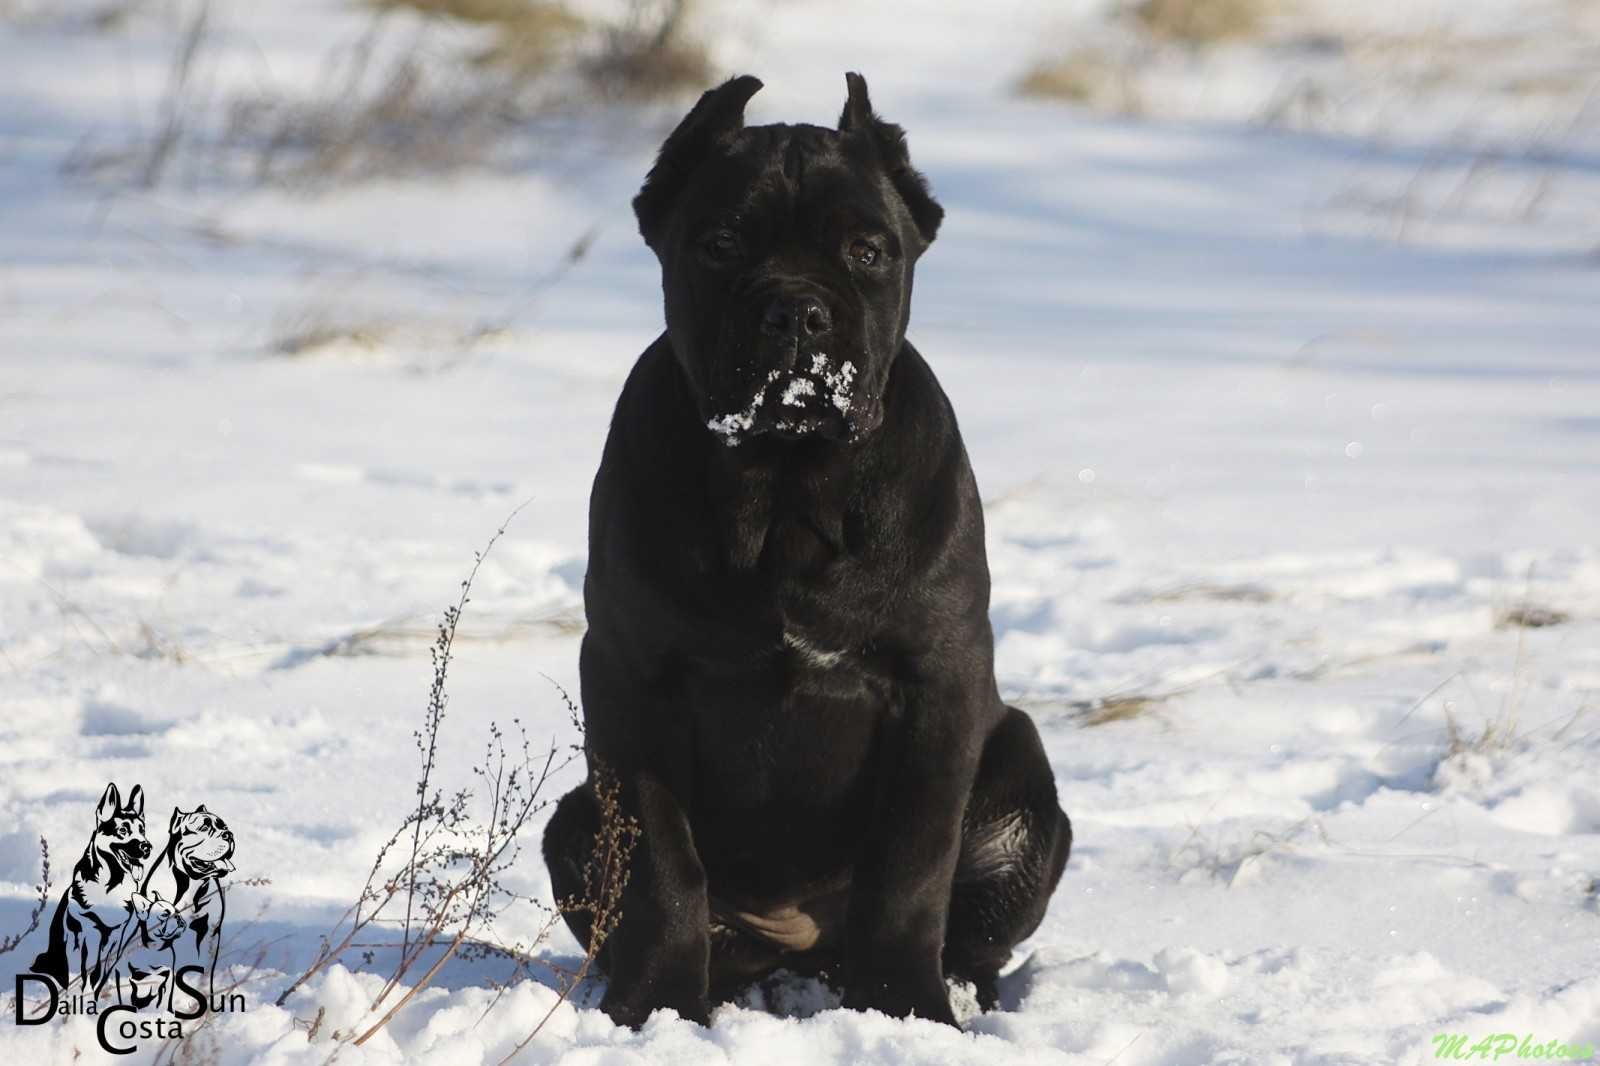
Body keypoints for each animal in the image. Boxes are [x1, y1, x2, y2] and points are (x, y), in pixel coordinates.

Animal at [540, 70, 1075, 1024]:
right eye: (719, 244)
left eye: (868, 250)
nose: (795, 310)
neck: (785, 494)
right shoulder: (632, 678)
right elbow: (662, 866)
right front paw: (656, 1009)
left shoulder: (935, 684)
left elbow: (909, 866)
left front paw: (907, 1009)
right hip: (572, 817)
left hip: (1022, 780)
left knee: (973, 928)